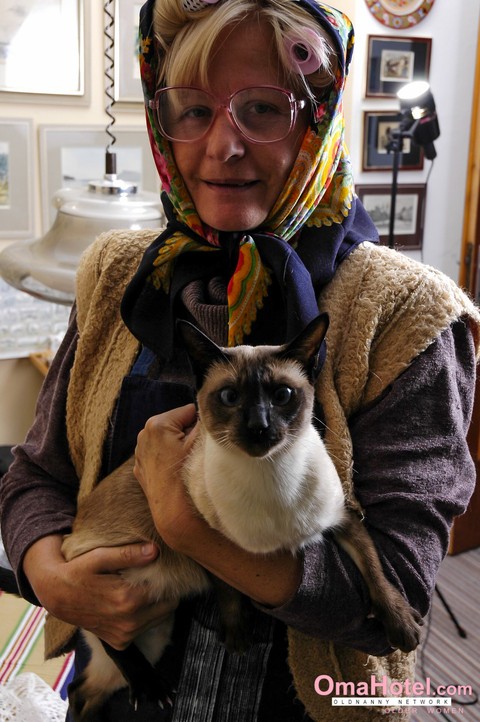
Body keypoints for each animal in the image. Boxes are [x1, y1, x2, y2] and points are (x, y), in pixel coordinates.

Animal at [62, 316, 422, 720]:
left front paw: (403, 629)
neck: (272, 475)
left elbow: (377, 575)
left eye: (282, 395)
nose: (259, 427)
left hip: (155, 630)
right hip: (121, 590)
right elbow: (229, 592)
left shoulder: (342, 521)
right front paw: (236, 636)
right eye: (230, 397)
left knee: (83, 689)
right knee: (108, 641)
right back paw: (152, 689)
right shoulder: (208, 541)